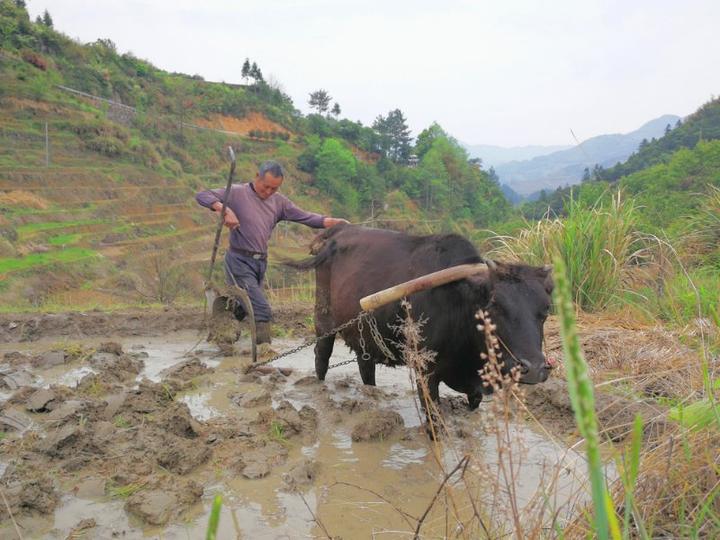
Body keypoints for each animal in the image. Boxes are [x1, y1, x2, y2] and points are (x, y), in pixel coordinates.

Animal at [290, 224, 556, 410]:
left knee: (366, 367)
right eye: (495, 307)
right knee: (322, 357)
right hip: (323, 321)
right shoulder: (425, 372)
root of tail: (336, 232)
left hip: (365, 334)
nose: (533, 369)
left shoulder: (475, 388)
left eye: (546, 310)